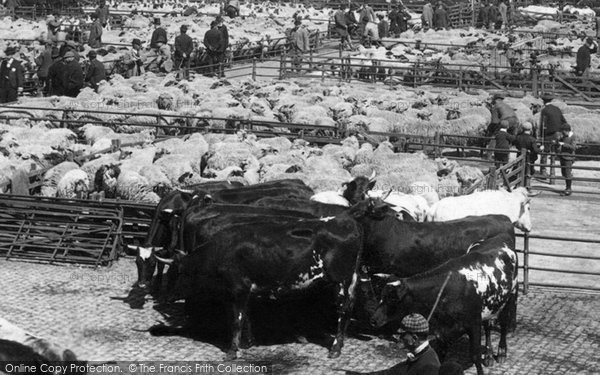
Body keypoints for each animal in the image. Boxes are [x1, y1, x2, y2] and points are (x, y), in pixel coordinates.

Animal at [370, 234, 516, 375]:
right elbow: (440, 355)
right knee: (488, 326)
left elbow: (475, 356)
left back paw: (501, 352)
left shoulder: (473, 322)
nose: (373, 320)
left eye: (392, 299)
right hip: (489, 306)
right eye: (381, 296)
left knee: (503, 322)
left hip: (511, 295)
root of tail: (500, 237)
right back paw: (489, 355)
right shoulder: (441, 331)